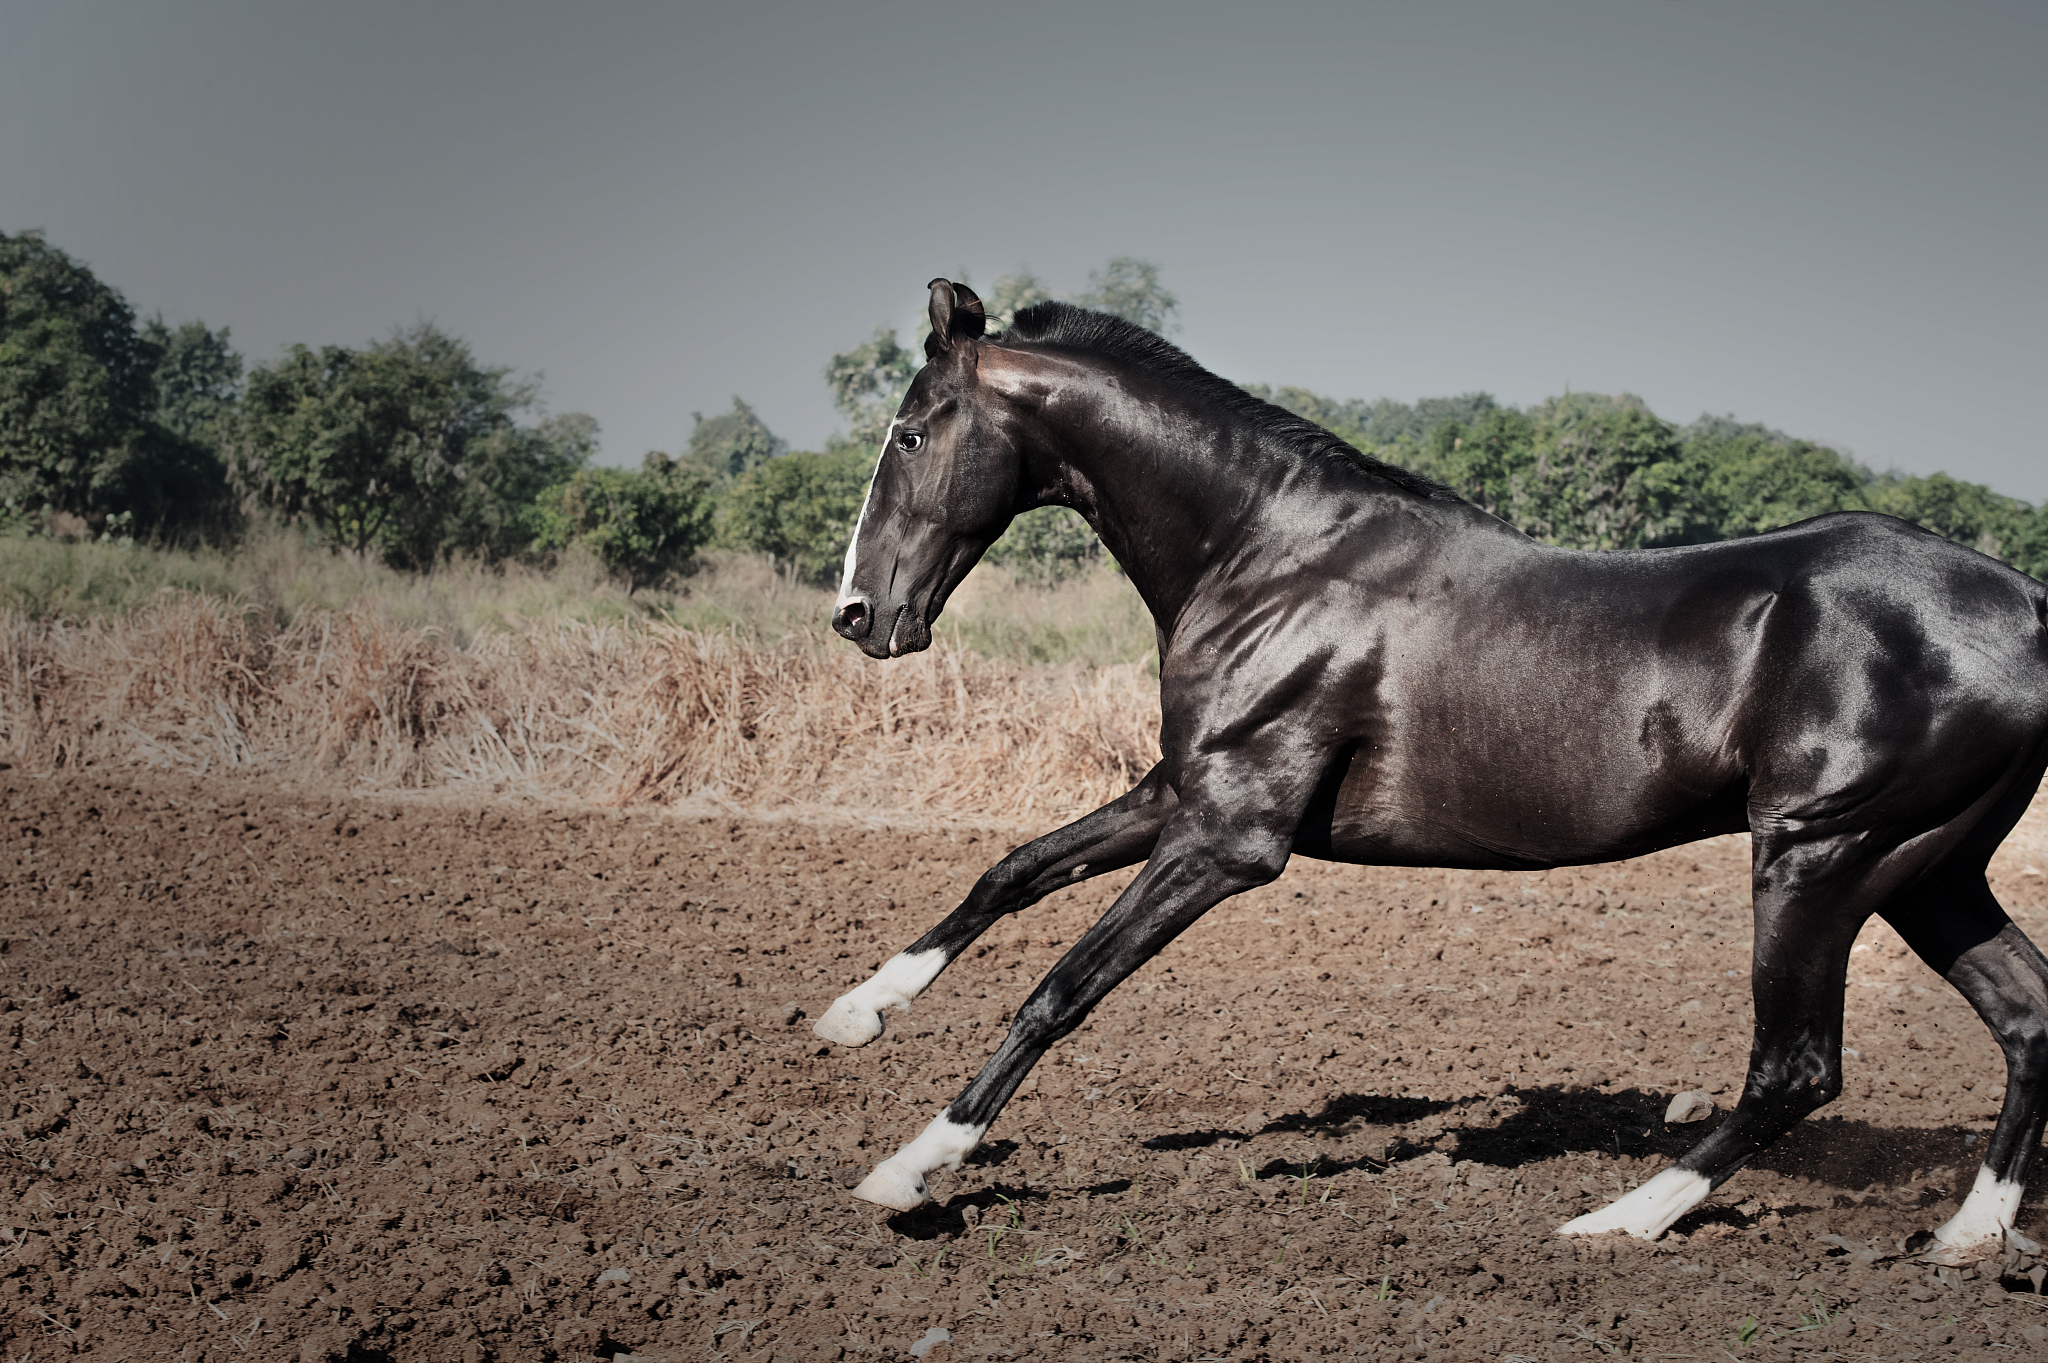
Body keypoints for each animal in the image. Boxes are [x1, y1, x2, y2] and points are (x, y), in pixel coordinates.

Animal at [814, 278, 2048, 1260]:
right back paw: (1965, 1235)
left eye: (910, 434)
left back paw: (1615, 1220)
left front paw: (907, 1168)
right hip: (1927, 872)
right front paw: (854, 1013)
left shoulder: (1231, 839)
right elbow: (1013, 870)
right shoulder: (1183, 792)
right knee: (2027, 1017)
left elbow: (1061, 988)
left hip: (1819, 857)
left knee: (1797, 1068)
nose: (858, 616)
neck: (1266, 557)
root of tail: (2026, 605)